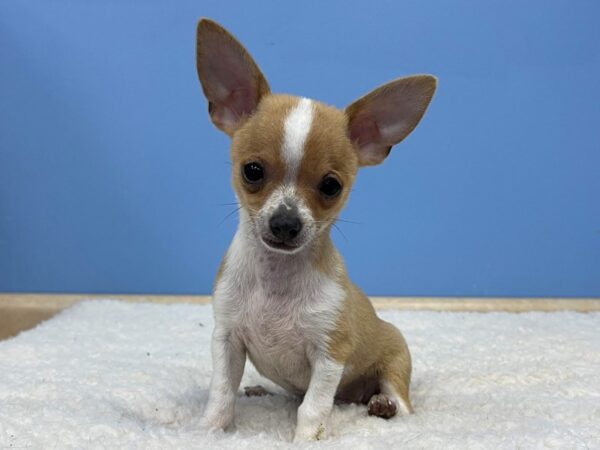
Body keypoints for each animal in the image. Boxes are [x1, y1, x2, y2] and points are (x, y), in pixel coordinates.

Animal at [197, 18, 436, 442]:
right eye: (252, 171)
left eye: (330, 186)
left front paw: (305, 440)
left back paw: (384, 405)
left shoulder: (329, 354)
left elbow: (312, 408)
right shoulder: (227, 340)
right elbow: (221, 393)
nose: (286, 222)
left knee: (401, 404)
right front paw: (208, 431)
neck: (277, 279)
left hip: (395, 363)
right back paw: (260, 389)